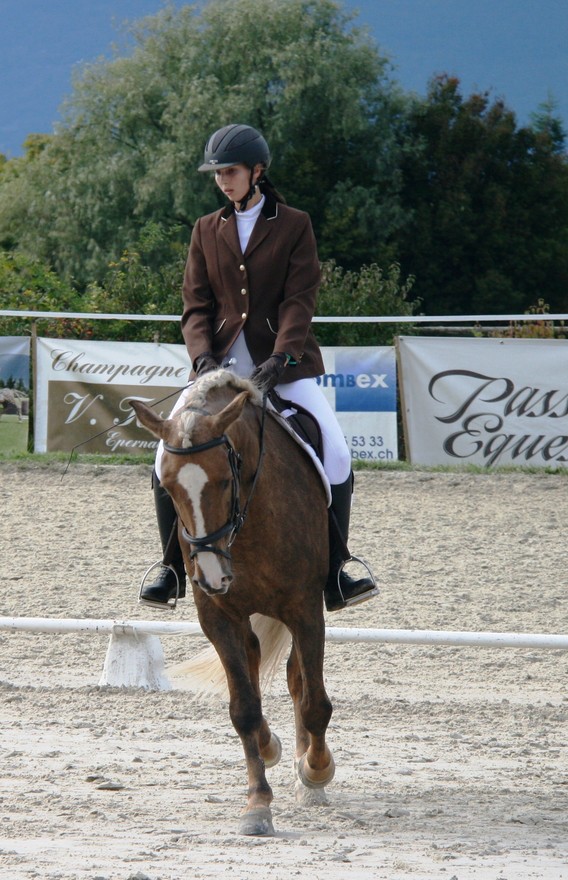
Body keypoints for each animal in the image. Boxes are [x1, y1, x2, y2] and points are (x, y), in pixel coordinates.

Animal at [130, 370, 335, 836]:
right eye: (167, 488)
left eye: (227, 477)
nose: (211, 575)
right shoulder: (218, 615)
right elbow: (244, 708)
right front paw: (257, 803)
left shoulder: (305, 608)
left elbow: (315, 702)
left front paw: (315, 771)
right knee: (257, 665)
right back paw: (271, 745)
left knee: (298, 681)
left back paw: (308, 776)